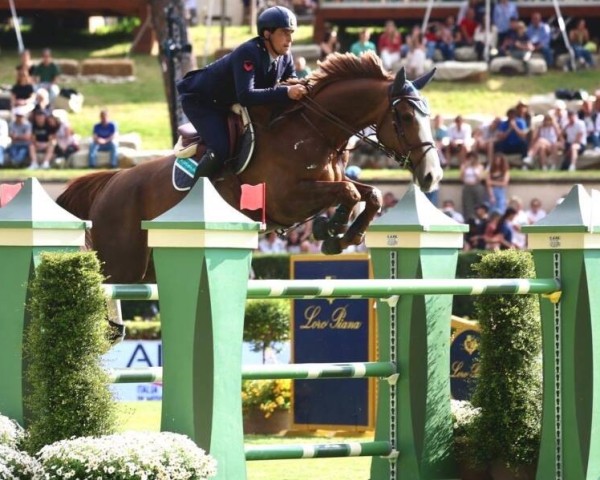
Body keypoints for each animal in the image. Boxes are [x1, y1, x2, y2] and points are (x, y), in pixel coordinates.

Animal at [56, 53, 440, 284]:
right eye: (406, 117)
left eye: (428, 115)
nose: (432, 176)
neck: (314, 129)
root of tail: (111, 184)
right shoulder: (287, 199)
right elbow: (347, 192)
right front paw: (331, 228)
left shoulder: (324, 183)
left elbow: (369, 194)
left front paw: (342, 235)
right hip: (121, 265)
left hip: (148, 268)